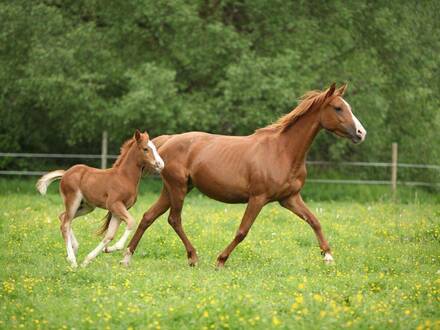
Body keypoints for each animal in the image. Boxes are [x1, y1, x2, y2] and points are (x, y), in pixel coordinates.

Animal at [37, 130, 164, 266]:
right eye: (145, 149)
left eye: (155, 147)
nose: (160, 164)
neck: (124, 177)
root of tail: (66, 173)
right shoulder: (114, 204)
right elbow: (130, 222)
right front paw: (115, 247)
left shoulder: (119, 210)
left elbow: (110, 235)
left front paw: (90, 258)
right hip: (73, 200)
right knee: (65, 224)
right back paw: (72, 260)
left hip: (86, 206)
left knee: (63, 217)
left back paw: (74, 249)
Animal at [123, 82, 368, 268]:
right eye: (337, 108)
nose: (361, 133)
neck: (283, 151)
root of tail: (168, 140)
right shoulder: (258, 198)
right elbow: (242, 231)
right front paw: (221, 260)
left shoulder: (289, 198)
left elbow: (315, 221)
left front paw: (328, 256)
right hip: (178, 188)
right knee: (174, 219)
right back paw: (192, 257)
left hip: (172, 189)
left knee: (148, 216)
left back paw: (127, 257)